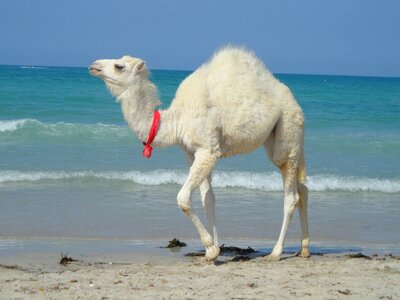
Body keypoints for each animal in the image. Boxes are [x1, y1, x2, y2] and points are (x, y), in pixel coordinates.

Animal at [90, 46, 310, 260]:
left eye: (119, 66)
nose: (94, 65)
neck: (178, 120)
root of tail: (295, 102)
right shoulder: (191, 152)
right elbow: (208, 199)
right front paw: (214, 249)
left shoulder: (208, 150)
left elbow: (183, 198)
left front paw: (210, 249)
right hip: (281, 139)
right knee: (302, 188)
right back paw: (305, 248)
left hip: (287, 128)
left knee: (291, 195)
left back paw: (276, 252)